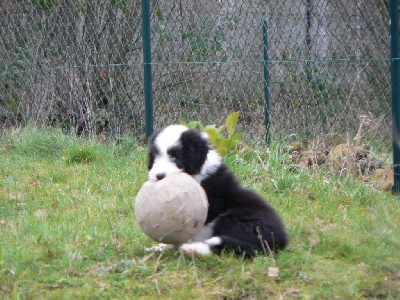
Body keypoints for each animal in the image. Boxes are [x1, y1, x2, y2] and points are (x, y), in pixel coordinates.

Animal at [148, 124, 288, 255]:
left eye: (177, 157)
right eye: (156, 156)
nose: (159, 176)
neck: (197, 171)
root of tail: (280, 240)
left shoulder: (210, 207)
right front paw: (163, 247)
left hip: (236, 219)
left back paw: (194, 249)